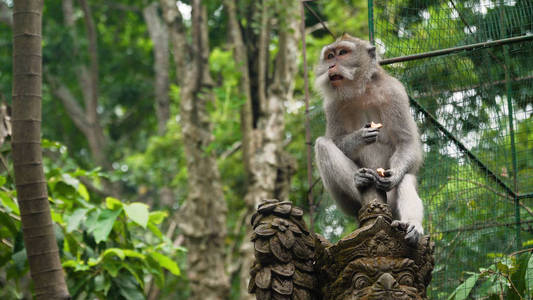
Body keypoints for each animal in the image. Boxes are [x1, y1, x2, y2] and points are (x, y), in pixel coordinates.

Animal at [312, 33, 424, 244]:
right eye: (330, 56)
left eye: (342, 53)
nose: (331, 66)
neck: (360, 89)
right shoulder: (332, 104)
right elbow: (336, 140)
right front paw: (359, 136)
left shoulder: (394, 91)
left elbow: (406, 142)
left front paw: (394, 175)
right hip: (349, 205)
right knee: (322, 144)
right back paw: (360, 180)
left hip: (391, 201)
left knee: (406, 178)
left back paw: (410, 226)